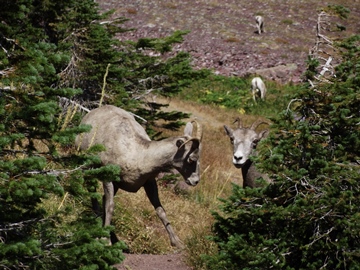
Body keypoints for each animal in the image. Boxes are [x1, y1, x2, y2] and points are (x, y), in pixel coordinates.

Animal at [75, 104, 202, 248]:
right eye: (191, 159)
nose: (195, 181)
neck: (138, 155)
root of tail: (90, 114)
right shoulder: (108, 178)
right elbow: (110, 206)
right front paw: (105, 240)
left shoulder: (149, 183)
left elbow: (161, 210)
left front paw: (177, 243)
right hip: (86, 164)